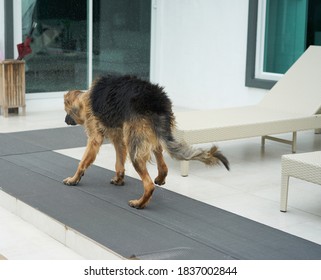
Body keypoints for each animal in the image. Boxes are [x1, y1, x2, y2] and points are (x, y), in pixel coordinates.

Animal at [63, 75, 228, 209]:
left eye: (67, 111)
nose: (65, 120)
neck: (86, 98)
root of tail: (155, 102)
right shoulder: (119, 138)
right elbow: (118, 163)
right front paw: (119, 179)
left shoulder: (95, 138)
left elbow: (83, 162)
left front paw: (74, 179)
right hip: (151, 136)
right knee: (163, 166)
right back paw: (160, 179)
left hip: (136, 147)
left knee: (148, 185)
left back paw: (139, 203)